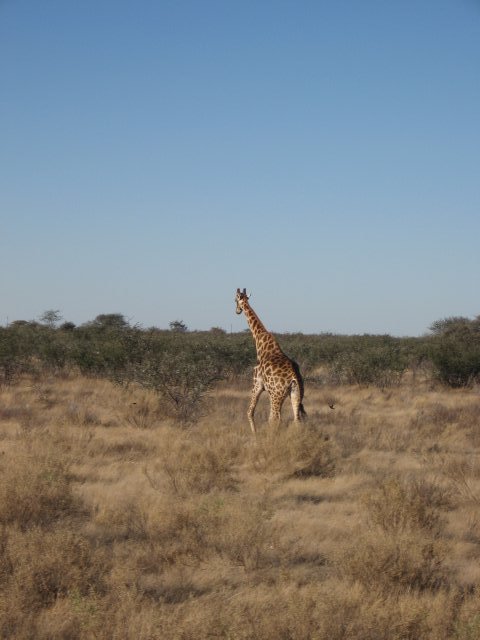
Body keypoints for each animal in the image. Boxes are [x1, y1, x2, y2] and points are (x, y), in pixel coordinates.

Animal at [234, 288, 306, 432]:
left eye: (235, 300)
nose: (237, 311)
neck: (259, 341)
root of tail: (294, 376)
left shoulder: (256, 383)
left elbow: (250, 412)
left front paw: (255, 436)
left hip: (276, 395)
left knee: (274, 418)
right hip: (296, 394)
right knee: (297, 419)